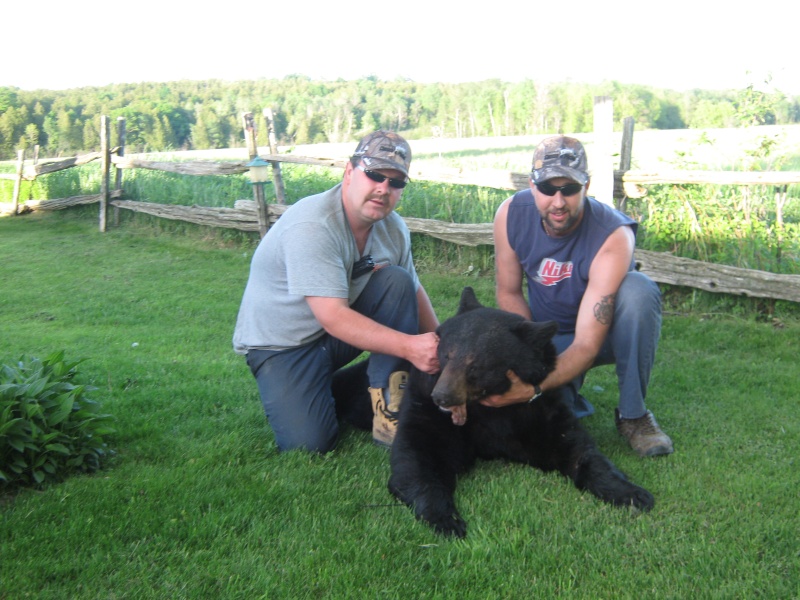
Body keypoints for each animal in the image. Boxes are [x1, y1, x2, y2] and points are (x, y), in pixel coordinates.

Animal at [390, 288, 656, 540]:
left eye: (476, 366)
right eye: (447, 354)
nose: (442, 397)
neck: (486, 410)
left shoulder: (537, 412)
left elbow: (577, 451)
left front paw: (633, 493)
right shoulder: (426, 407)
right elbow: (419, 457)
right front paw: (446, 520)